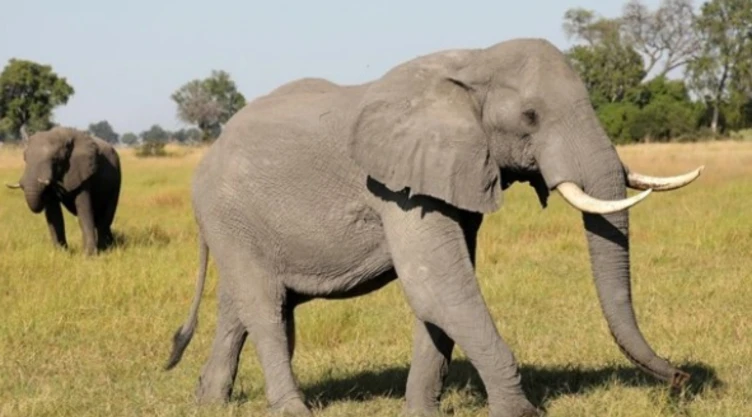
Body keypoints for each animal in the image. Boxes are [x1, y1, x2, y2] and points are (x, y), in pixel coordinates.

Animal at [5, 126, 121, 256]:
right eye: (24, 158)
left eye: (55, 160)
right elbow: (54, 214)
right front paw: (61, 253)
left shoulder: (82, 171)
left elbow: (84, 212)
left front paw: (89, 255)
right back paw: (111, 245)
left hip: (116, 180)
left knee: (105, 218)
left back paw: (105, 249)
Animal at [164, 38, 703, 417]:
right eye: (530, 116)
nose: (681, 380)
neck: (475, 62)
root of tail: (209, 154)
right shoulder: (397, 186)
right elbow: (438, 286)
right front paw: (520, 413)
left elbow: (440, 296)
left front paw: (421, 412)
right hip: (228, 214)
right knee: (265, 308)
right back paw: (293, 410)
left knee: (242, 308)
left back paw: (208, 403)